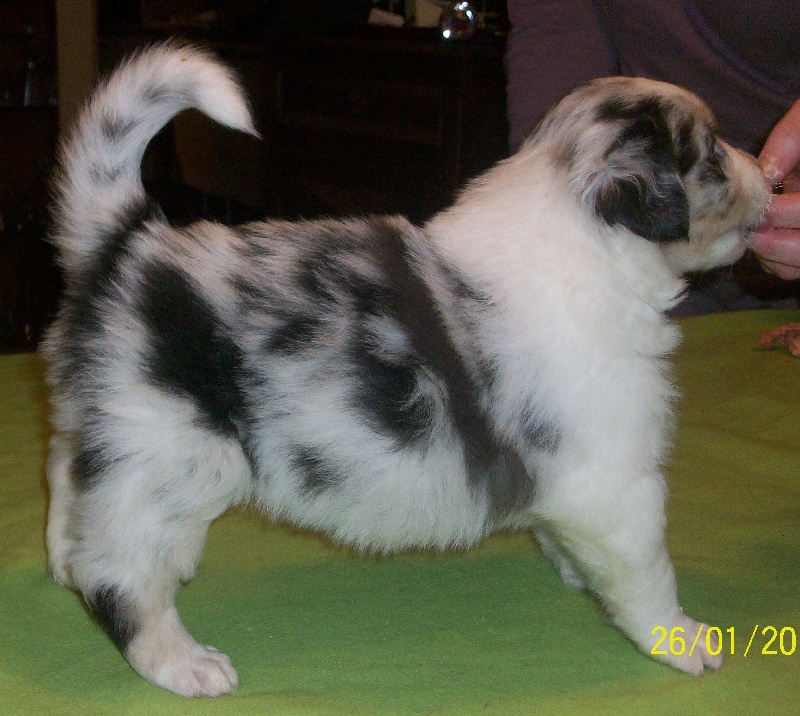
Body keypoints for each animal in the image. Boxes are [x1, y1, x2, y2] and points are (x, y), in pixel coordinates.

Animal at [43, 43, 770, 697]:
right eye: (710, 153)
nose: (770, 175)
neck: (588, 244)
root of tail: (127, 242)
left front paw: (574, 572)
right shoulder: (618, 484)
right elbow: (648, 575)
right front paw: (684, 640)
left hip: (106, 435)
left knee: (68, 489)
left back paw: (64, 562)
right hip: (172, 459)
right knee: (120, 572)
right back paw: (182, 662)